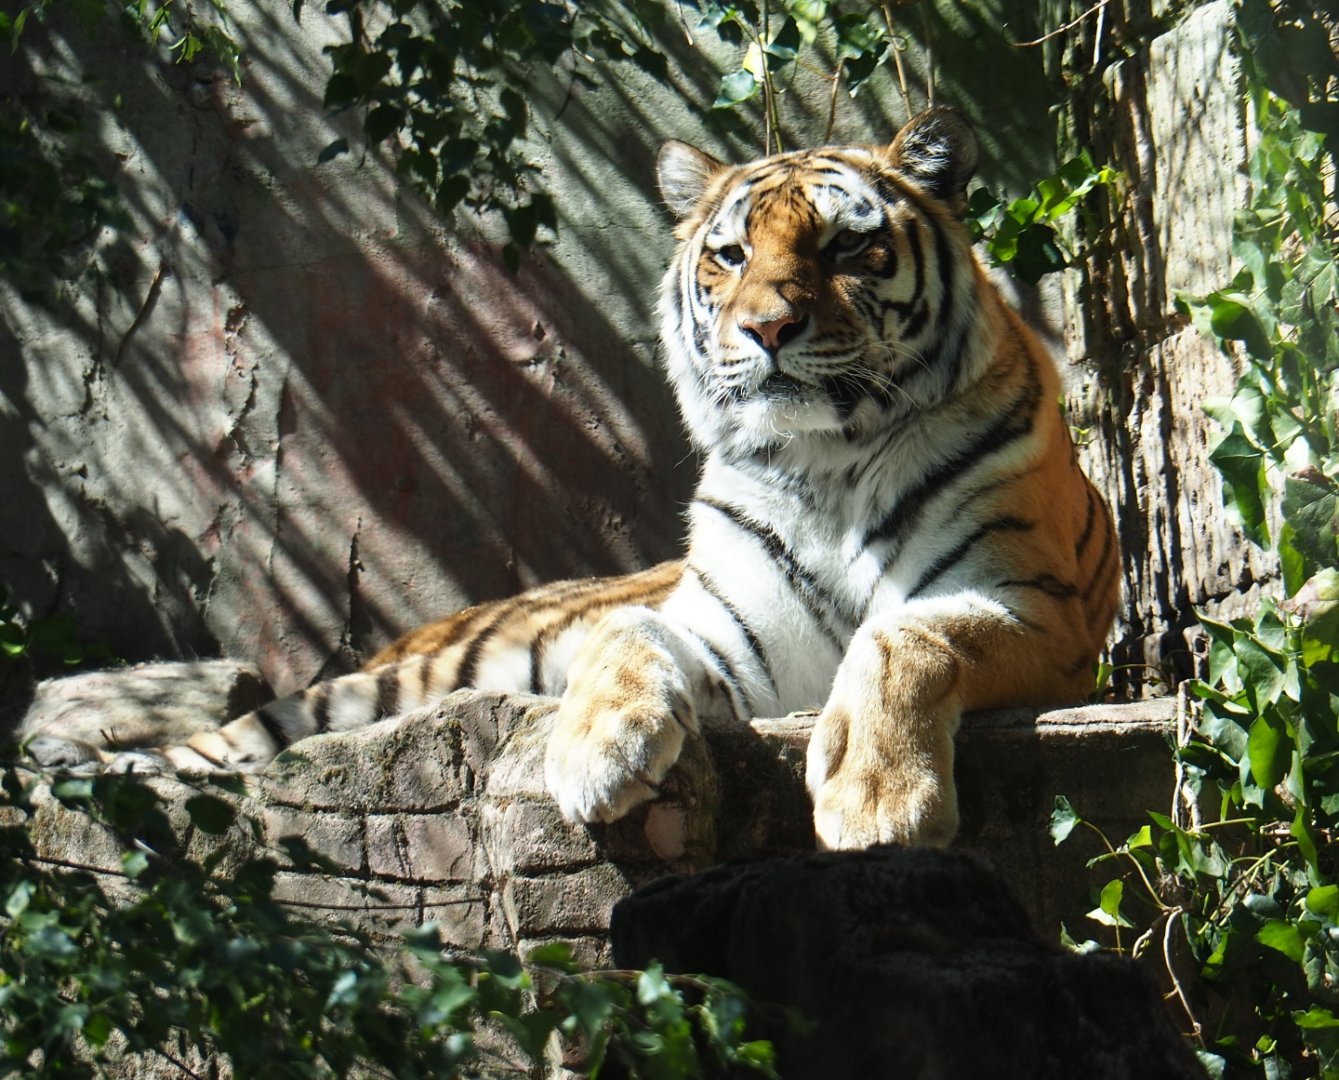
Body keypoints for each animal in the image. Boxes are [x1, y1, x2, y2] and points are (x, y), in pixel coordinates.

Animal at [79, 106, 1119, 849]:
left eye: (847, 248)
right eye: (730, 254)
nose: (766, 329)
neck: (827, 461)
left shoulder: (1034, 608)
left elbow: (905, 635)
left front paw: (875, 799)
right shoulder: (728, 628)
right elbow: (628, 631)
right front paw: (594, 750)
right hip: (365, 691)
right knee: (222, 742)